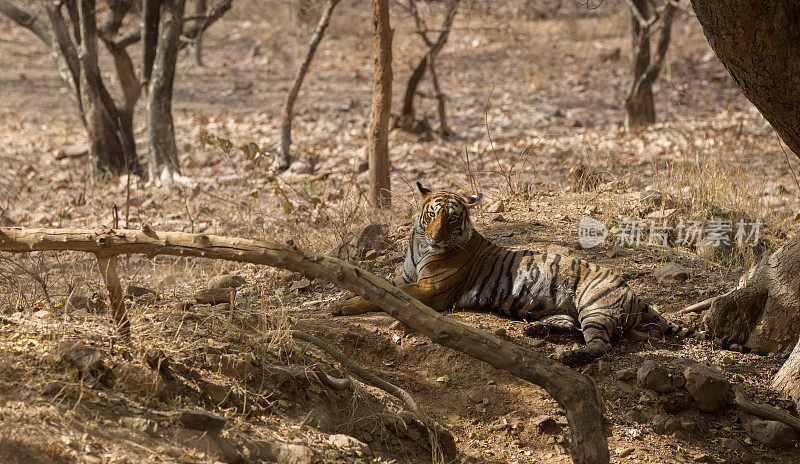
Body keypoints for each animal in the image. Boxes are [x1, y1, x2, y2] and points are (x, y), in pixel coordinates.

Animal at [332, 182, 792, 366]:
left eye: (454, 218)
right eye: (432, 215)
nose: (438, 236)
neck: (420, 248)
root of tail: (635, 292)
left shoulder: (429, 290)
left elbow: (374, 292)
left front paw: (339, 305)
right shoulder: (406, 278)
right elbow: (375, 280)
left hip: (595, 305)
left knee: (601, 345)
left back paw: (568, 355)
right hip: (575, 309)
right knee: (578, 330)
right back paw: (540, 331)